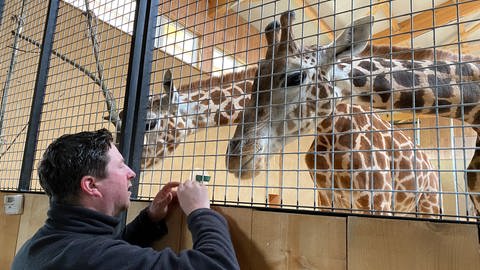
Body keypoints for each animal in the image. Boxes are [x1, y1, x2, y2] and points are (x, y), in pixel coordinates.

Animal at [226, 11, 480, 215]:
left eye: (295, 77)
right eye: (254, 81)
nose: (236, 157)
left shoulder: (377, 199)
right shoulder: (327, 198)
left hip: (429, 202)